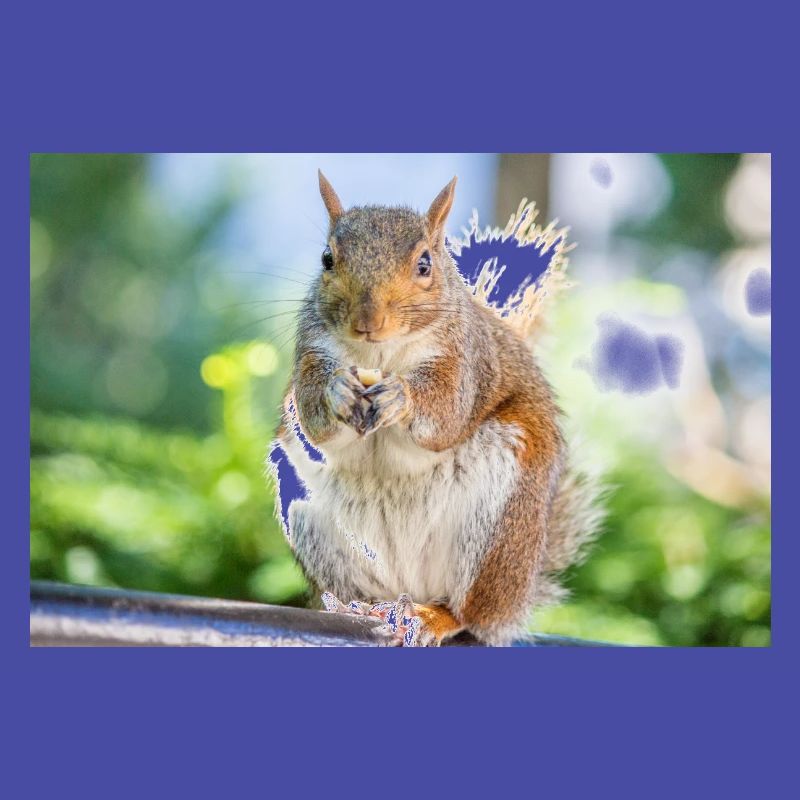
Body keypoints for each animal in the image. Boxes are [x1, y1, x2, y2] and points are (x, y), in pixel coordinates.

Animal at [270, 170, 602, 646]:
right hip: (315, 525)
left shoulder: (465, 362)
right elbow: (316, 420)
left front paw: (401, 396)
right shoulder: (313, 351)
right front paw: (337, 391)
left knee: (470, 611)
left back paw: (435, 617)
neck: (381, 355)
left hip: (497, 530)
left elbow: (445, 413)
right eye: (327, 259)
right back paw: (357, 607)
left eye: (425, 264)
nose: (368, 322)